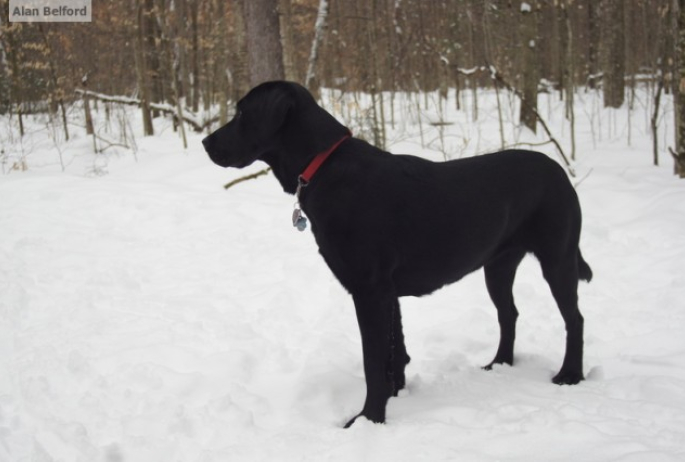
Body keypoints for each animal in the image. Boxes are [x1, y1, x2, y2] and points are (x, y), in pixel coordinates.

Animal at [200, 80, 592, 426]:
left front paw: (368, 419)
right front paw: (393, 398)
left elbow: (374, 361)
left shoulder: (370, 289)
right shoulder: (387, 291)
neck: (323, 165)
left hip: (558, 258)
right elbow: (395, 352)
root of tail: (560, 171)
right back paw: (499, 364)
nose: (205, 142)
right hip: (497, 265)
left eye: (242, 112)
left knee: (574, 318)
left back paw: (570, 374)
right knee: (508, 313)